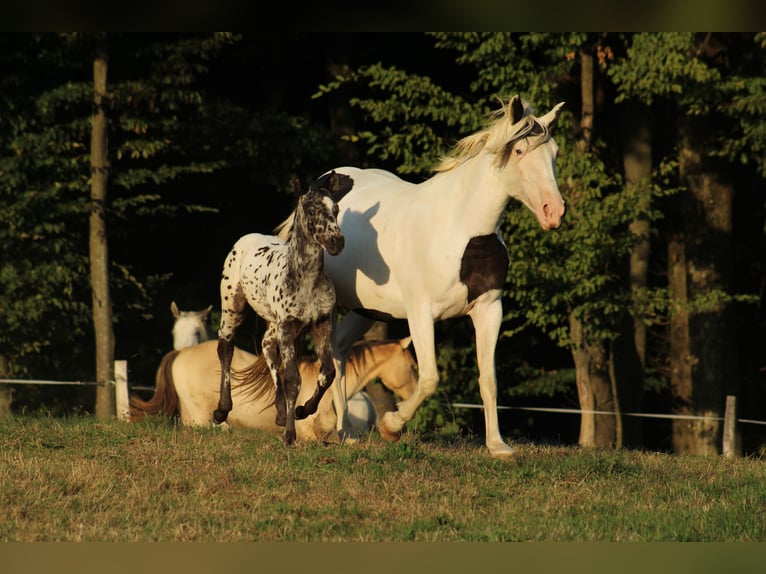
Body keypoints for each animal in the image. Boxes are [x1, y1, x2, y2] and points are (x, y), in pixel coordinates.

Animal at [215, 171, 351, 446]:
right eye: (311, 210)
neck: (305, 281)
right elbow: (292, 379)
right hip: (233, 308)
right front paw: (290, 435)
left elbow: (327, 373)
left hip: (274, 324)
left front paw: (301, 411)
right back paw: (222, 410)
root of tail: (246, 238)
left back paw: (279, 412)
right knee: (225, 347)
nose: (336, 242)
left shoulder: (320, 324)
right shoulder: (288, 327)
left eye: (336, 209)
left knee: (267, 348)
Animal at [276, 95, 565, 458]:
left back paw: (343, 431)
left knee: (340, 351)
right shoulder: (420, 313)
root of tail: (322, 181)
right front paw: (391, 426)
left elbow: (488, 380)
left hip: (366, 310)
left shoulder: (489, 310)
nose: (554, 212)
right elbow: (429, 378)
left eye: (554, 152)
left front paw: (498, 446)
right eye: (520, 151)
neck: (458, 228)